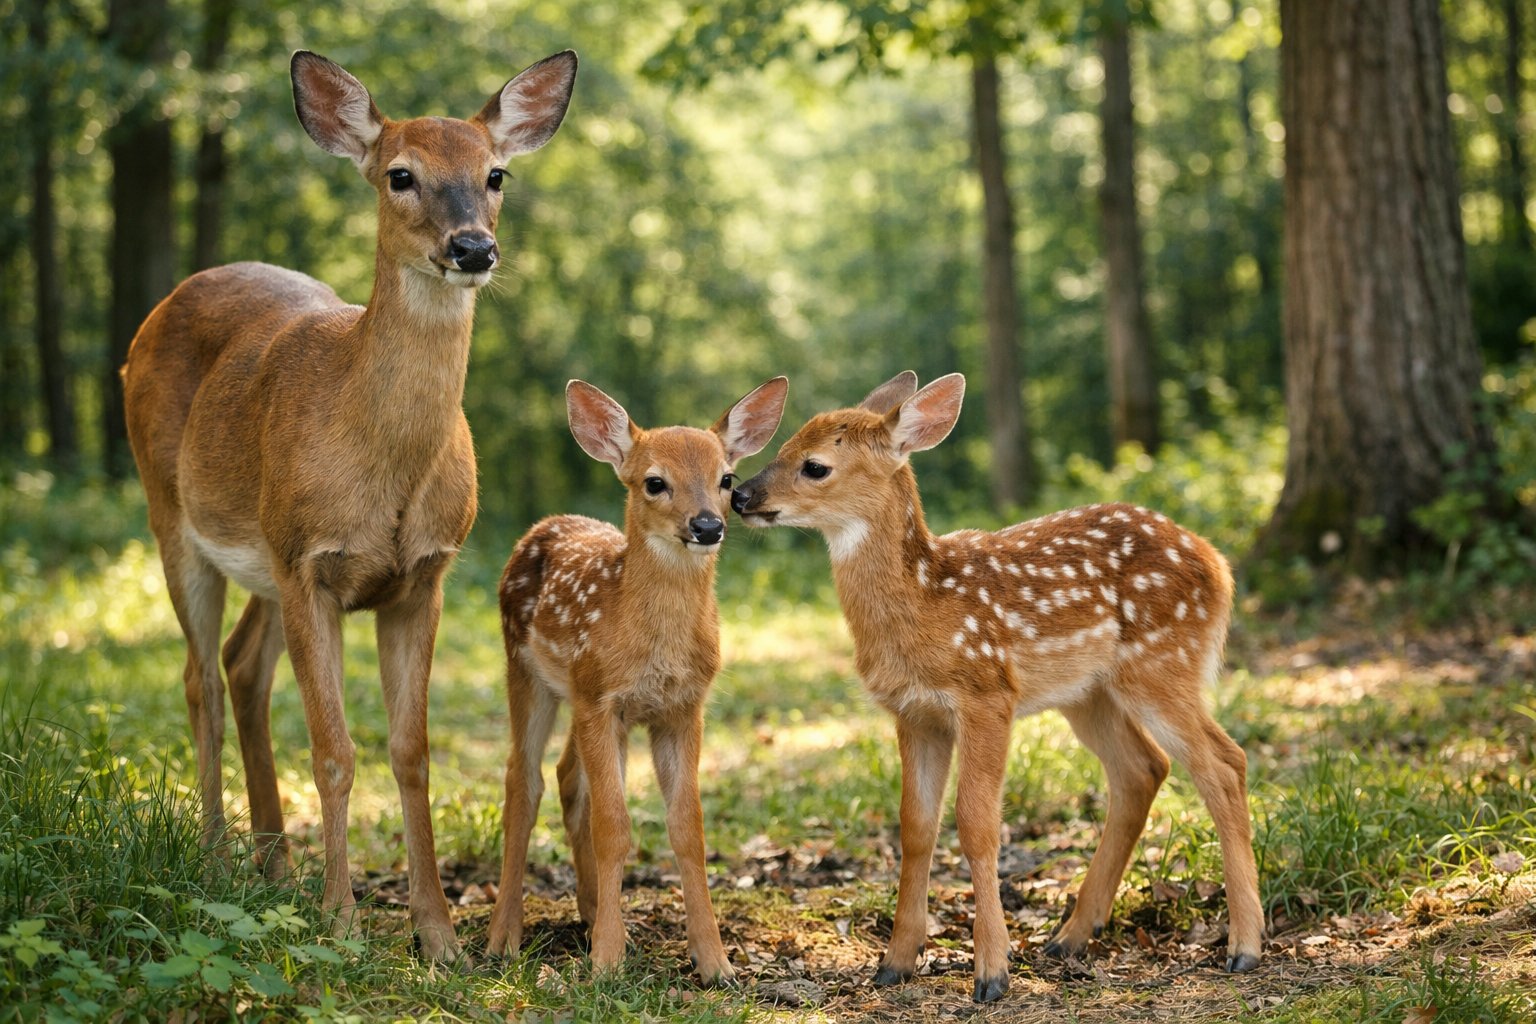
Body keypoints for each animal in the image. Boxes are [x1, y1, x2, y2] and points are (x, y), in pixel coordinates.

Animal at [120, 49, 578, 960]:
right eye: (400, 174)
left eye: (496, 174)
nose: (473, 247)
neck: (382, 467)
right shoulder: (311, 566)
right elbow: (334, 750)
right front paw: (340, 924)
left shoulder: (421, 577)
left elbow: (412, 752)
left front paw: (438, 935)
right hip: (173, 516)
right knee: (200, 679)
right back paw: (218, 860)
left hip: (263, 553)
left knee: (241, 665)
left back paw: (272, 866)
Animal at [484, 376, 789, 984]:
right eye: (655, 482)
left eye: (727, 479)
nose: (708, 525)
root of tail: (543, 524)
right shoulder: (603, 701)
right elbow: (615, 826)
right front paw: (607, 959)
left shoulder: (681, 707)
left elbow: (687, 828)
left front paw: (714, 961)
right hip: (527, 673)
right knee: (522, 781)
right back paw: (503, 937)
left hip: (580, 695)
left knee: (566, 777)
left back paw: (590, 909)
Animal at [729, 372, 1263, 1003]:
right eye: (781, 444)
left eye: (814, 466)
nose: (739, 496)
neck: (924, 604)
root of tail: (1219, 565)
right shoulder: (915, 713)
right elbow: (916, 826)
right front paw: (894, 963)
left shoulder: (986, 694)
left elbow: (977, 824)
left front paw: (991, 972)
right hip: (1090, 693)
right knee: (1143, 769)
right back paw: (1069, 937)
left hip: (1162, 664)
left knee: (1222, 763)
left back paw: (1245, 947)